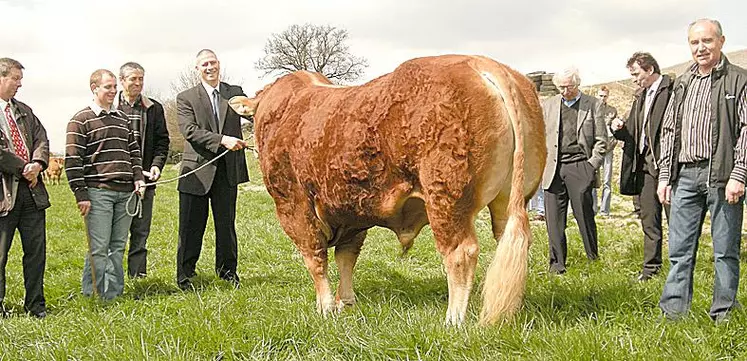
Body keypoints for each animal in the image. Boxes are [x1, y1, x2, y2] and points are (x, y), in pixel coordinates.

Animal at [234, 54, 548, 324]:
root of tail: (481, 63)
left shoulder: (293, 204)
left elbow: (315, 256)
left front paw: (325, 307)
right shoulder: (351, 210)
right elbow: (346, 257)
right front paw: (346, 303)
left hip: (446, 197)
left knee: (461, 252)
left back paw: (453, 319)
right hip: (510, 199)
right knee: (510, 245)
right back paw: (508, 312)